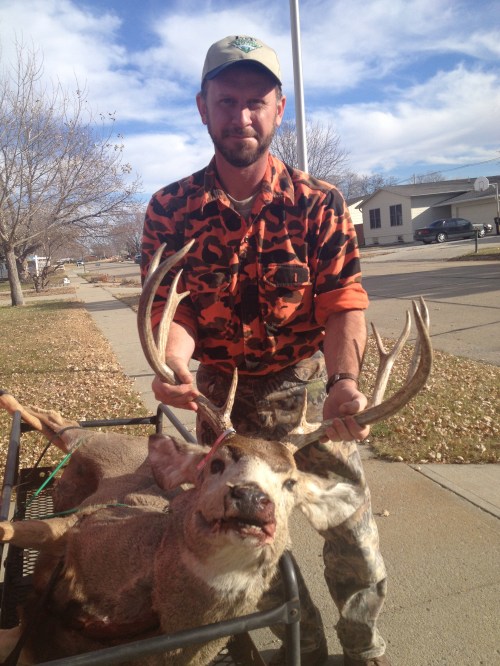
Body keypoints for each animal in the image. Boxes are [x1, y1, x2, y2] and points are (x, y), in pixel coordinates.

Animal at [0, 242, 432, 665]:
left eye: (291, 483)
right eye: (216, 463)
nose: (251, 498)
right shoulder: (81, 523)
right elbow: (14, 532)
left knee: (59, 421)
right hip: (97, 445)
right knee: (62, 425)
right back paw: (11, 400)